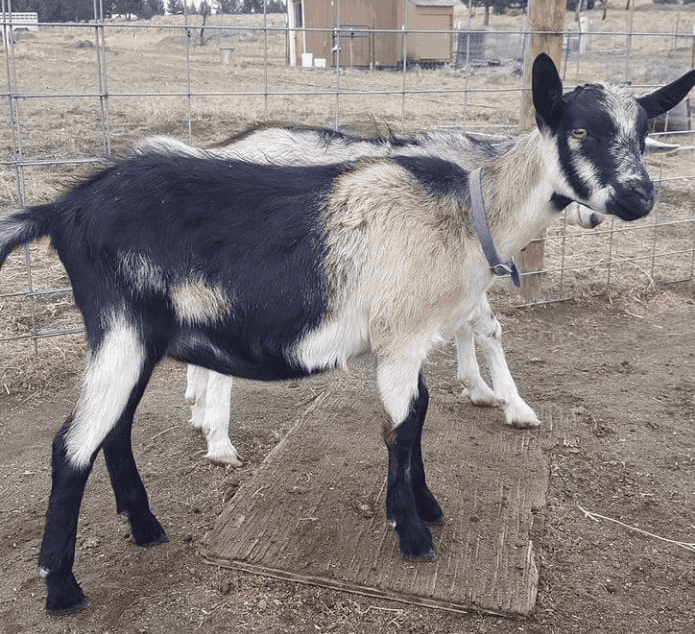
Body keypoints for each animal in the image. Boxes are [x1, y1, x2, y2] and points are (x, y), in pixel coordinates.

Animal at [1, 54, 693, 613]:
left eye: (644, 133)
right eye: (579, 130)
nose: (639, 199)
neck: (465, 210)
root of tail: (62, 209)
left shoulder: (409, 336)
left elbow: (418, 416)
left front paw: (427, 504)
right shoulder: (403, 339)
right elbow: (403, 426)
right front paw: (413, 532)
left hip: (139, 338)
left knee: (113, 430)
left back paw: (146, 526)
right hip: (120, 329)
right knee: (72, 446)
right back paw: (63, 588)